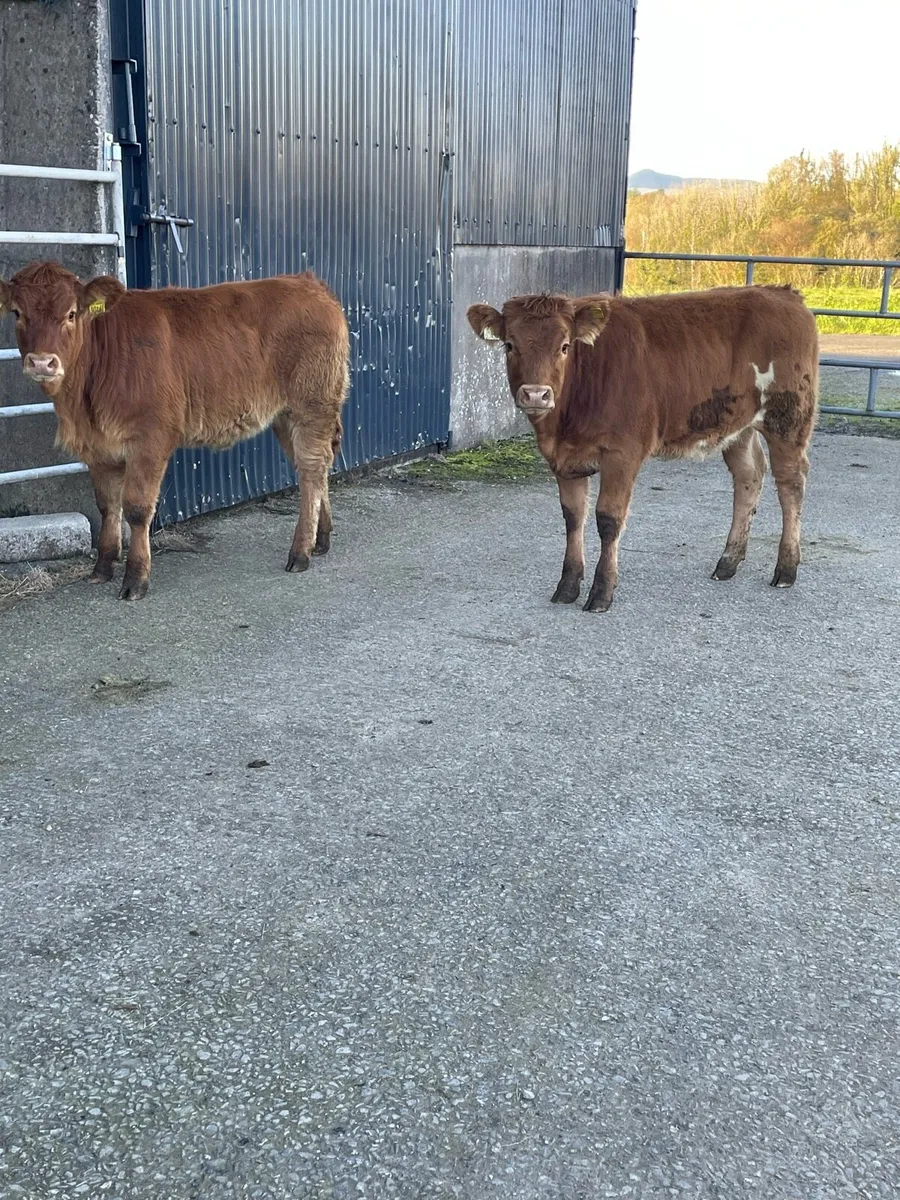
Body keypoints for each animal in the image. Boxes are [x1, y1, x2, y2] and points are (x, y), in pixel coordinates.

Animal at [0, 261, 349, 600]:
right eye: (17, 312)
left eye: (72, 313)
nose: (41, 362)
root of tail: (307, 283)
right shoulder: (98, 449)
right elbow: (107, 506)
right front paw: (103, 567)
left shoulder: (150, 438)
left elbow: (137, 508)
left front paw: (135, 578)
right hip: (285, 416)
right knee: (314, 470)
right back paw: (321, 538)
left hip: (312, 405)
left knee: (311, 470)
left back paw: (301, 551)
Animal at [467, 285, 818, 612]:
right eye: (509, 345)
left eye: (565, 346)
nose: (536, 395)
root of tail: (783, 294)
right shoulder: (564, 459)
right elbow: (573, 517)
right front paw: (567, 586)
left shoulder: (623, 453)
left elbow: (608, 519)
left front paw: (601, 592)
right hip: (738, 427)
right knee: (749, 475)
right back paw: (728, 562)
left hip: (789, 416)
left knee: (791, 483)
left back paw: (786, 568)